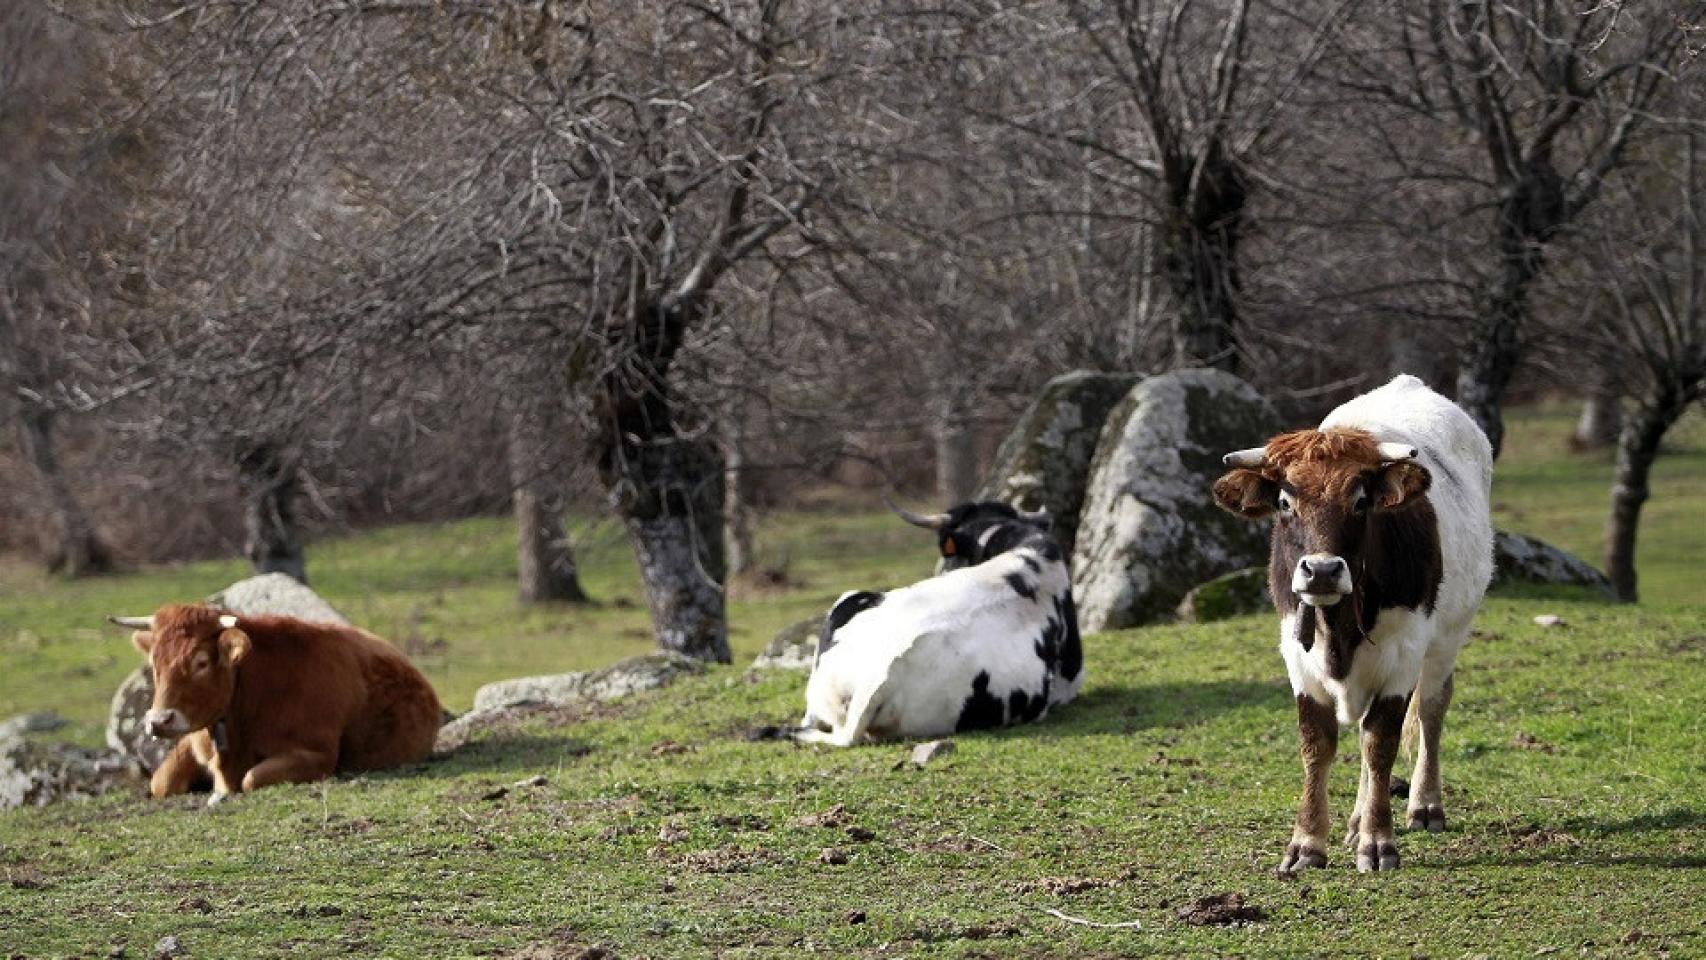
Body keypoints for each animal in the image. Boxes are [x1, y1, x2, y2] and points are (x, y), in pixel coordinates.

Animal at [109, 603, 443, 805]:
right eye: (155, 663)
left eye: (201, 662)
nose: (159, 721)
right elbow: (161, 782)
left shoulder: (316, 755)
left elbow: (252, 778)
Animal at [1211, 374, 1494, 873]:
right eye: (1284, 501)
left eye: (1361, 501)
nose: (1322, 570)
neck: (1336, 625)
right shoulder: (1298, 657)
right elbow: (1318, 744)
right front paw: (1307, 843)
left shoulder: (1403, 655)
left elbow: (1380, 742)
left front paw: (1378, 842)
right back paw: (1357, 819)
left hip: (1448, 638)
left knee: (1430, 709)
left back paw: (1424, 804)